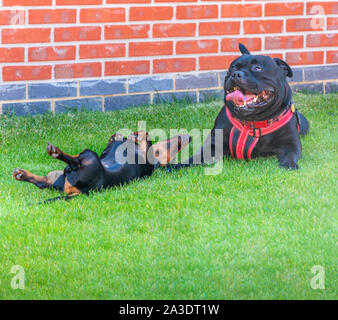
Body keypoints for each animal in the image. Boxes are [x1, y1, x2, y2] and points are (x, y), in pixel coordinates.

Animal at [12, 131, 190, 196]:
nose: (187, 136)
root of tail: (80, 191)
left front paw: (133, 135)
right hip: (57, 176)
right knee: (42, 182)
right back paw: (21, 174)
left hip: (88, 156)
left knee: (72, 160)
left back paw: (56, 152)